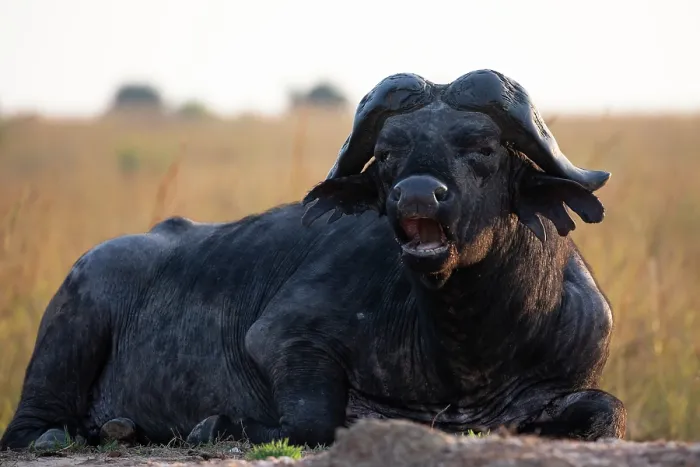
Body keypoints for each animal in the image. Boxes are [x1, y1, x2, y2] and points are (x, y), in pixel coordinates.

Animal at [0, 69, 626, 451]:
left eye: (483, 148)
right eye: (388, 153)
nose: (417, 195)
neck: (466, 350)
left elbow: (608, 414)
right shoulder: (283, 337)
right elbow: (312, 420)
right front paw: (217, 423)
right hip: (74, 321)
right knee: (26, 427)